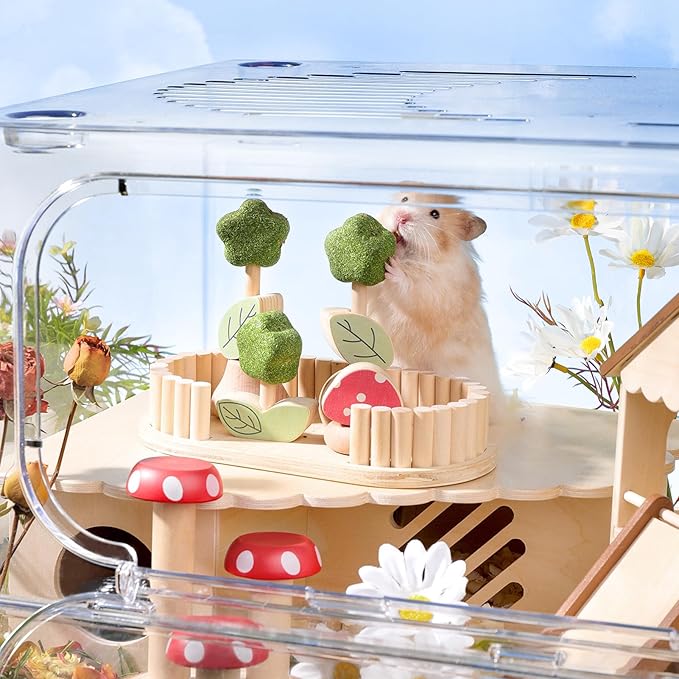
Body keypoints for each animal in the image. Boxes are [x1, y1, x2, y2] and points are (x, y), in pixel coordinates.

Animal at [366, 192, 505, 421]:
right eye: (404, 199)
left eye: (435, 214)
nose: (401, 217)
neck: (409, 256)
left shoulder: (436, 294)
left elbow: (412, 288)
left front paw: (394, 268)